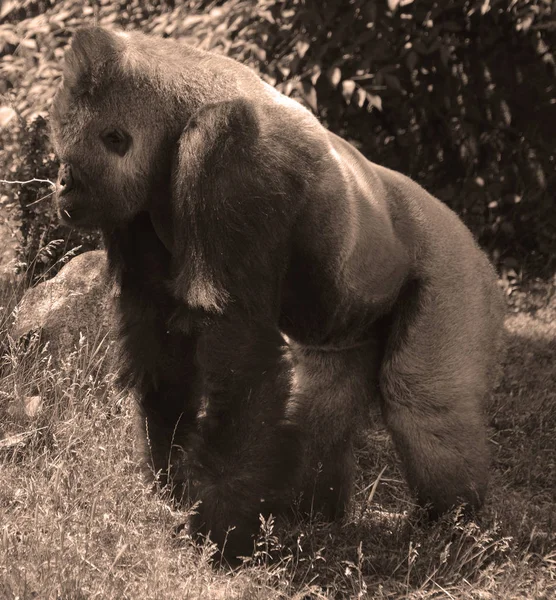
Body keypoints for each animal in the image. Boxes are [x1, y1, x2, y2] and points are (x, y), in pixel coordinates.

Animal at [50, 25, 506, 560]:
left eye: (70, 164)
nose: (59, 183)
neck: (175, 121)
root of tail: (469, 236)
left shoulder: (231, 155)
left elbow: (240, 346)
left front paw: (218, 530)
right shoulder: (136, 205)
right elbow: (161, 341)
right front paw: (172, 486)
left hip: (456, 267)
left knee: (424, 401)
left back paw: (455, 530)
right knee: (320, 396)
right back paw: (305, 513)